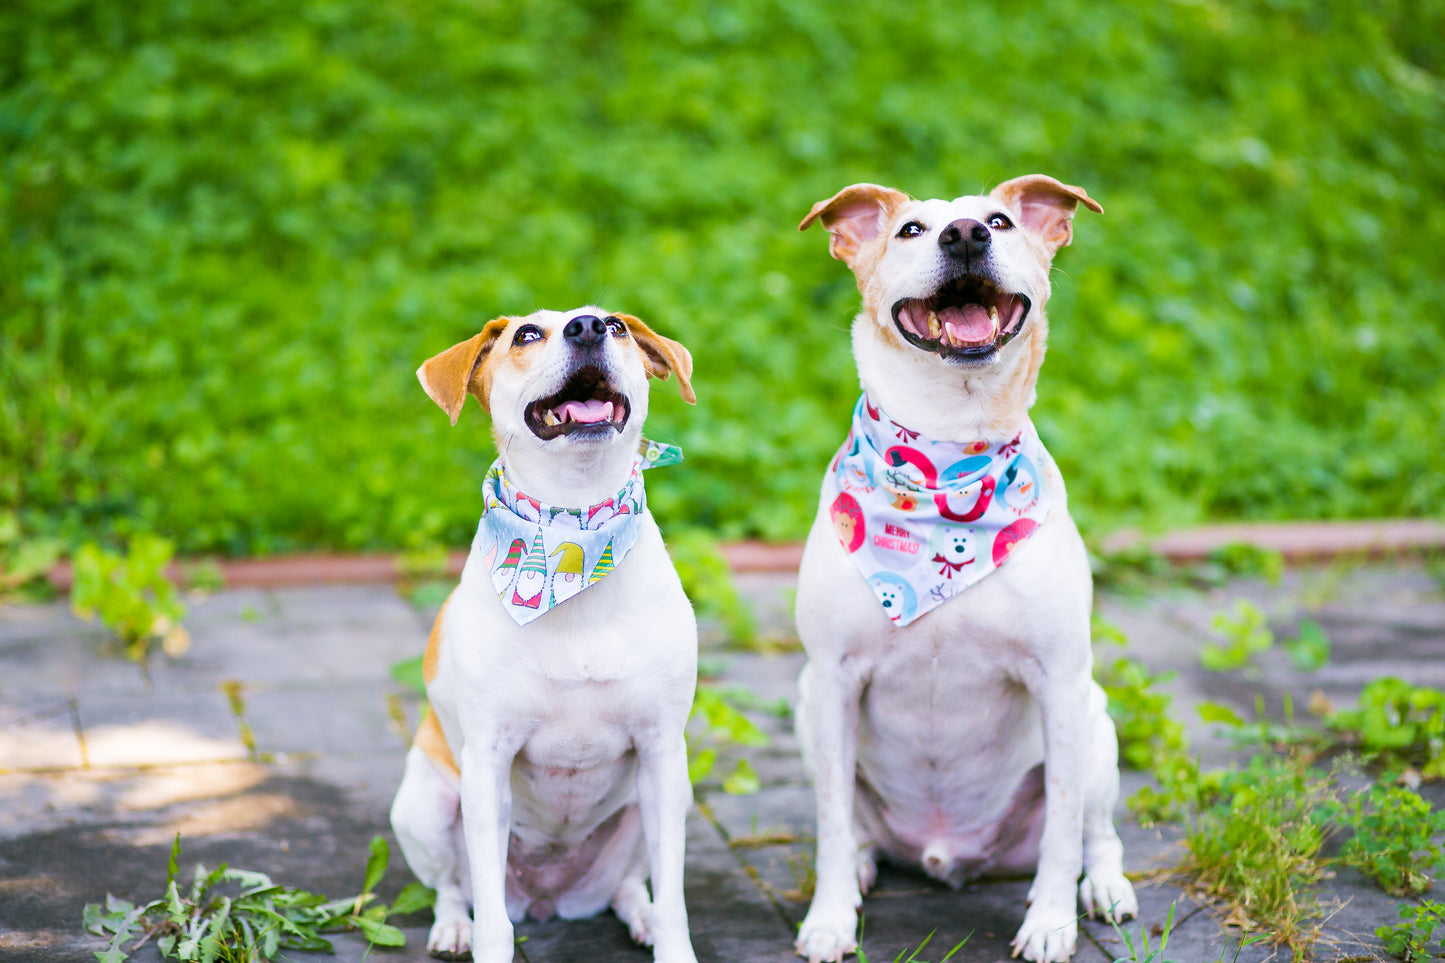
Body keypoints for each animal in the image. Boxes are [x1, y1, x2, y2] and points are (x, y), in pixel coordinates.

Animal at [384, 305, 699, 960]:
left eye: (618, 327)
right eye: (527, 334)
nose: (589, 327)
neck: (572, 520)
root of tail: (551, 900)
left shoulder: (662, 750)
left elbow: (675, 901)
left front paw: (670, 941)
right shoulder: (487, 762)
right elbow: (491, 918)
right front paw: (481, 939)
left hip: (661, 803)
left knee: (631, 884)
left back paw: (639, 914)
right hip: (424, 804)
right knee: (453, 888)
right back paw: (452, 927)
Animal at [791, 174, 1138, 960]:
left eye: (1001, 221)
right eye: (912, 231)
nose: (966, 236)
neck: (950, 446)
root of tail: (950, 853)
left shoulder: (1060, 680)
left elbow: (1064, 827)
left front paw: (1049, 923)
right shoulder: (831, 679)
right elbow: (829, 822)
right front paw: (830, 919)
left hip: (1096, 720)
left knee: (1096, 831)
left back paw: (1104, 888)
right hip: (805, 707)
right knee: (853, 826)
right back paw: (864, 863)